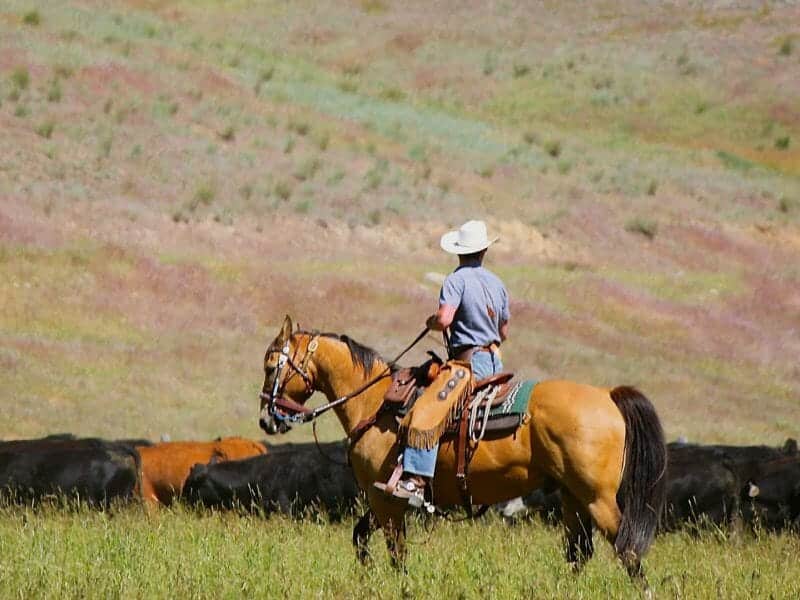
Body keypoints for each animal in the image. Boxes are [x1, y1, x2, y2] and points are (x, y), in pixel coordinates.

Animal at [258, 316, 667, 587]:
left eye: (270, 365)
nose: (266, 420)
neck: (375, 403)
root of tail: (607, 395)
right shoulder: (380, 499)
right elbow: (360, 537)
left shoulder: (387, 501)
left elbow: (396, 553)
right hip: (573, 497)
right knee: (580, 552)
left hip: (597, 498)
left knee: (627, 550)